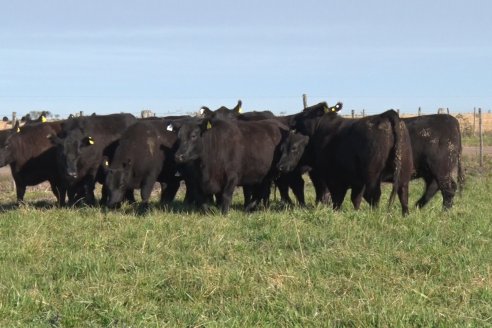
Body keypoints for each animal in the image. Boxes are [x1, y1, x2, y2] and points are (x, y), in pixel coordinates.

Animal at [278, 102, 414, 215]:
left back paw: (374, 214)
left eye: (305, 112)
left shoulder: (333, 177)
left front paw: (336, 212)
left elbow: (337, 197)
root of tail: (385, 115)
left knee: (375, 194)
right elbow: (355, 198)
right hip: (404, 170)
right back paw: (405, 215)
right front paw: (355, 213)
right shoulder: (356, 181)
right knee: (403, 193)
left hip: (373, 174)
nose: (292, 120)